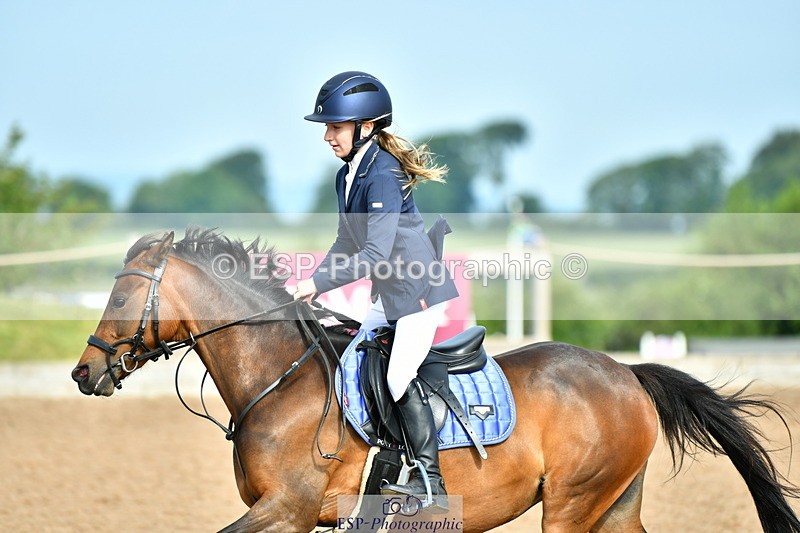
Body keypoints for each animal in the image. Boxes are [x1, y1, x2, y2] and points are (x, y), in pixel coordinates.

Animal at [72, 228, 800, 533]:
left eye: (121, 295)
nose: (84, 371)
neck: (277, 385)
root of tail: (625, 372)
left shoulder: (287, 509)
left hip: (573, 504)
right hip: (613, 503)